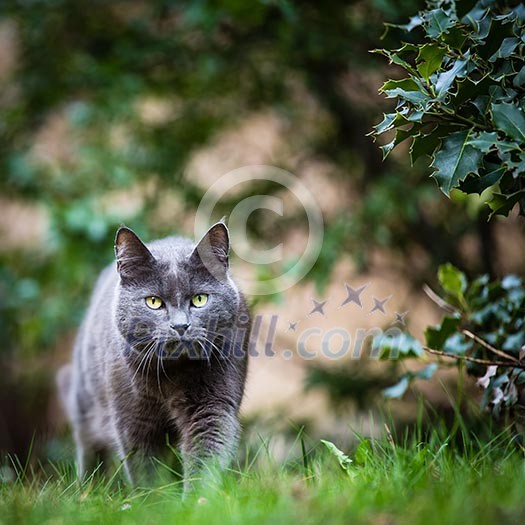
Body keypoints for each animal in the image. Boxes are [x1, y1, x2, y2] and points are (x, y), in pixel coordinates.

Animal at [56, 223, 249, 490]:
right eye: (154, 302)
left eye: (200, 299)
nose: (180, 326)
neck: (172, 375)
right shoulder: (132, 418)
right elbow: (144, 468)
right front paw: (153, 498)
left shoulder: (213, 403)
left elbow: (207, 452)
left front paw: (197, 498)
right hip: (85, 399)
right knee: (89, 448)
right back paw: (89, 489)